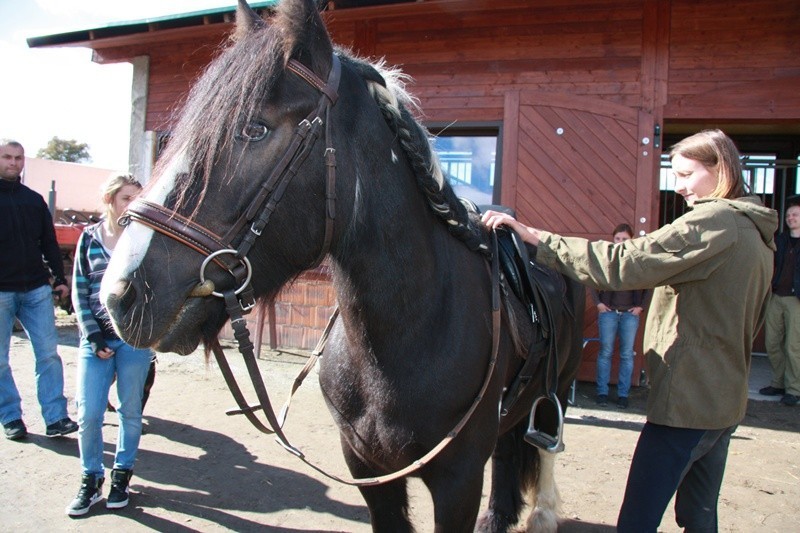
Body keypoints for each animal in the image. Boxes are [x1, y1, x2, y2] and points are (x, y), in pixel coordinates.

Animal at [103, 2, 584, 528]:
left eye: (255, 129)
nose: (120, 292)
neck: (409, 335)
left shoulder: (458, 481)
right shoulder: (367, 466)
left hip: (556, 392)